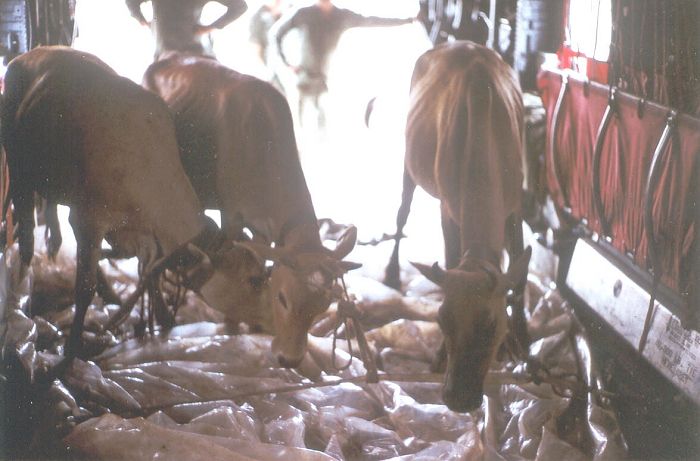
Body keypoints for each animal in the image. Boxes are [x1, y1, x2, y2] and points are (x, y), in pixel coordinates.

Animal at [0, 45, 268, 356]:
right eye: (254, 280)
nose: (267, 325)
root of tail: (31, 54)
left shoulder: (139, 233)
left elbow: (149, 269)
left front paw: (163, 319)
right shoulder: (88, 221)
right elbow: (85, 287)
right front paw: (73, 347)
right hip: (18, 165)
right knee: (26, 228)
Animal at [143, 54, 360, 364]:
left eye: (323, 305)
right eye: (282, 298)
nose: (289, 360)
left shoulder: (263, 229)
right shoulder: (231, 215)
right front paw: (232, 327)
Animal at [382, 41, 532, 412]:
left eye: (491, 325)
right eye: (441, 318)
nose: (458, 399)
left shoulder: (516, 204)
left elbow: (519, 267)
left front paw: (522, 341)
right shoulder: (447, 208)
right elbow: (450, 262)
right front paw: (438, 356)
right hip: (409, 165)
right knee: (402, 213)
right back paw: (391, 273)